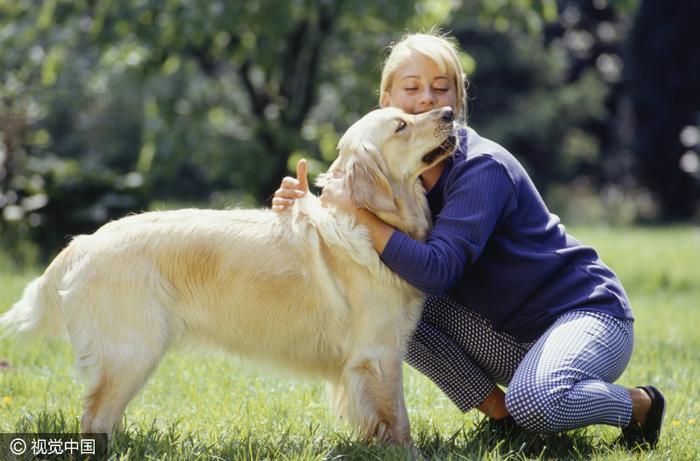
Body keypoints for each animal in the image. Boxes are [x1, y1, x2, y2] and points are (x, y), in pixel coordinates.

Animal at [0, 105, 456, 446]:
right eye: (401, 125)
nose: (451, 112)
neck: (368, 222)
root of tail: (85, 241)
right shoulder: (378, 354)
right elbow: (399, 420)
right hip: (132, 354)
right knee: (95, 417)